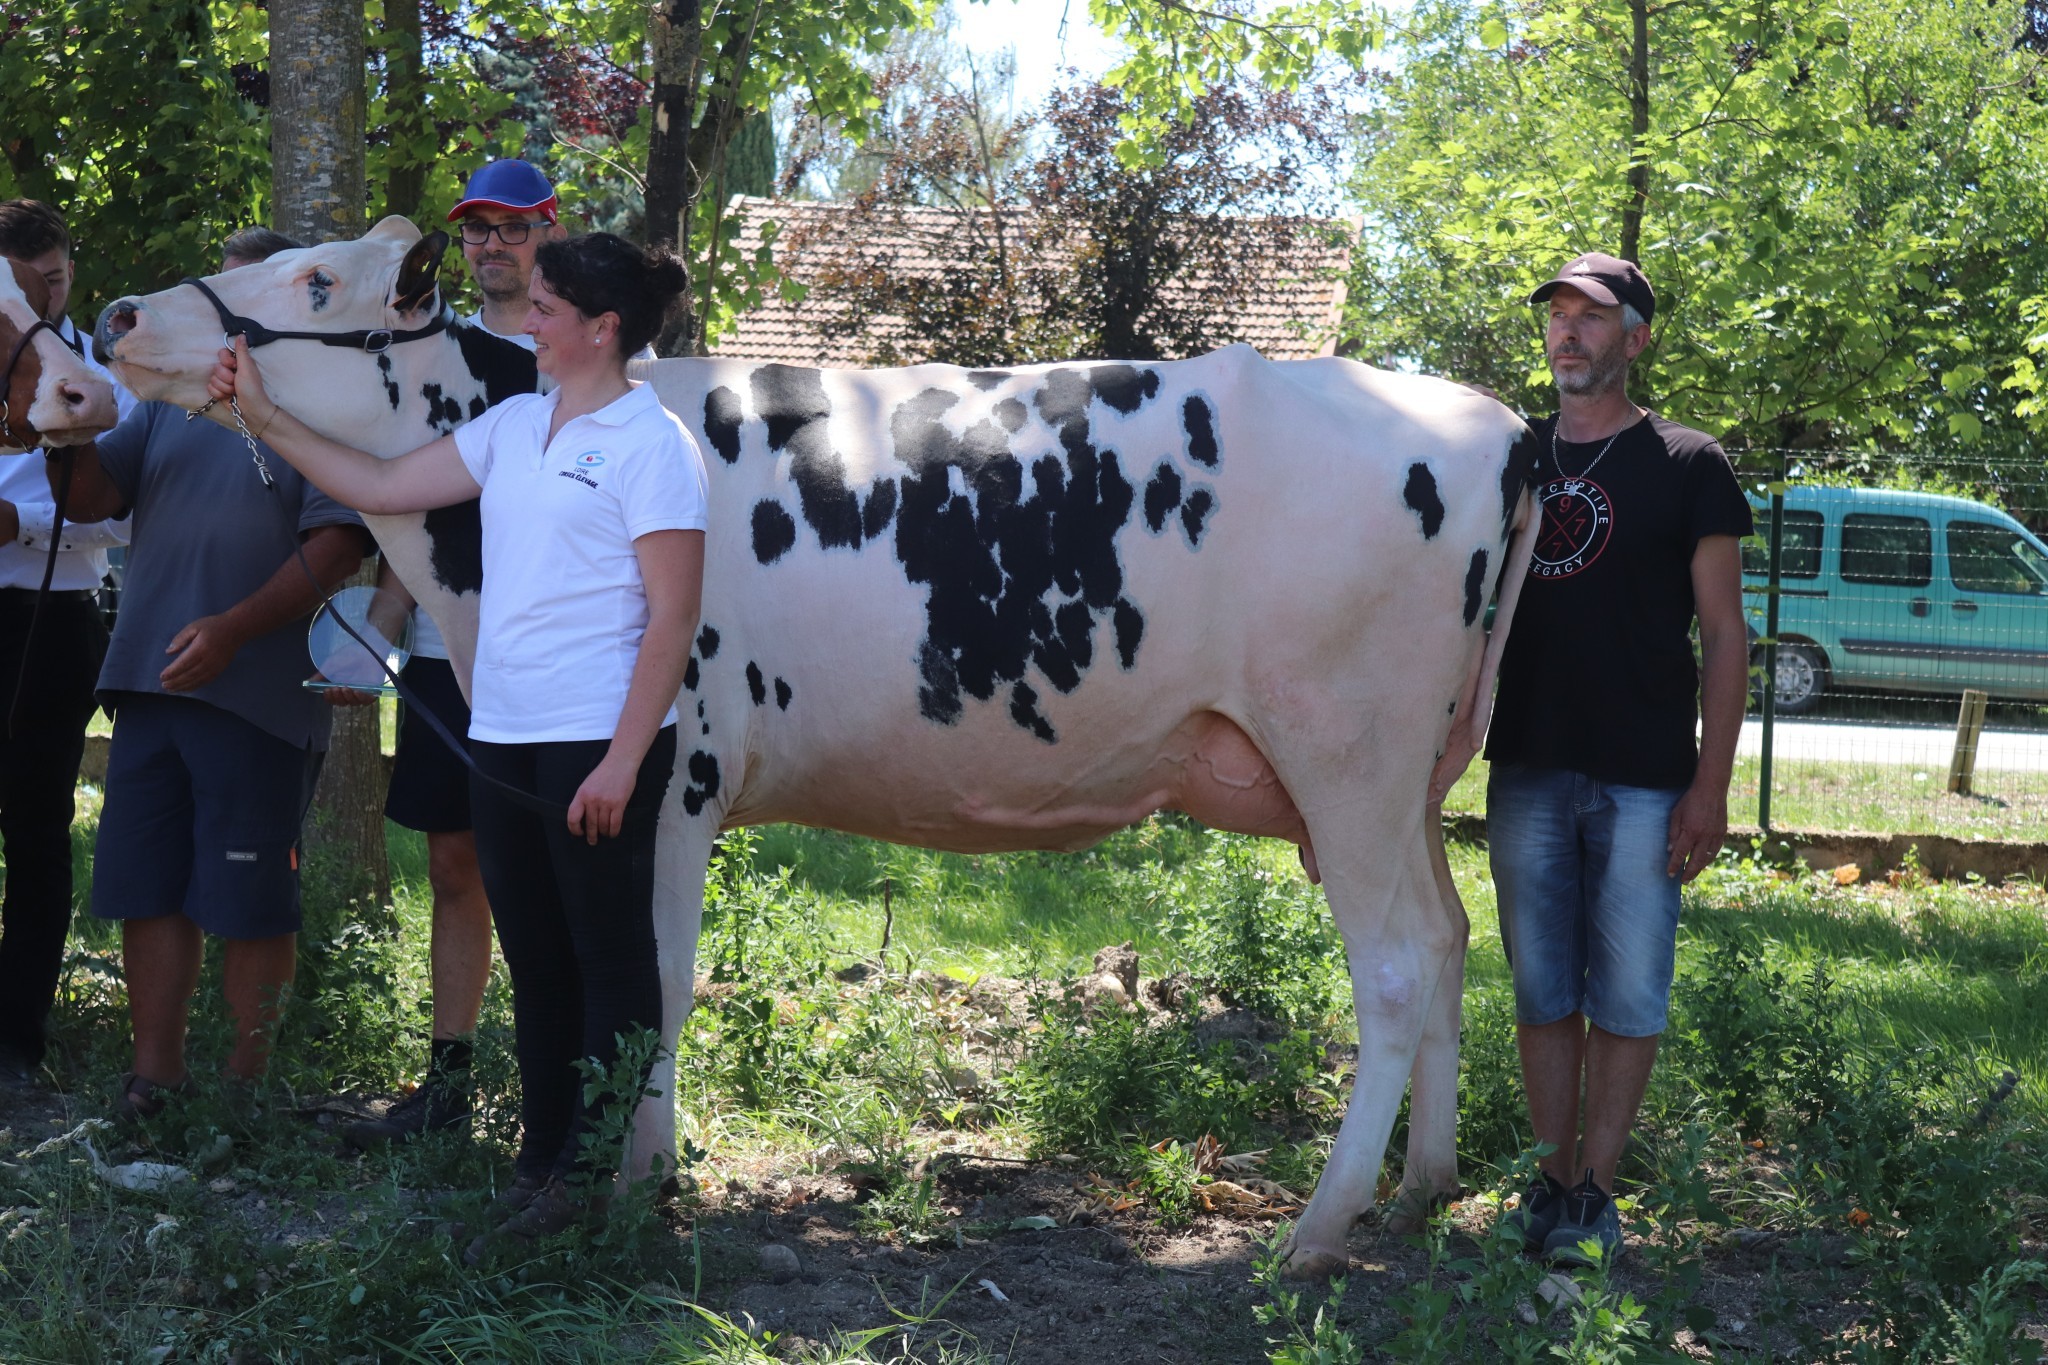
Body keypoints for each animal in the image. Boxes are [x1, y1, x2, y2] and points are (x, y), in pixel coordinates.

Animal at [96, 215, 1540, 1285]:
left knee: (1395, 969)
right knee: (1450, 938)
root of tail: (1496, 422)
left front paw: (639, 1188)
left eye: (313, 278)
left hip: (1346, 752)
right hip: (1408, 780)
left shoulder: (669, 778)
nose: (118, 317)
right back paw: (1421, 1189)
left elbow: (652, 982)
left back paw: (1316, 1231)